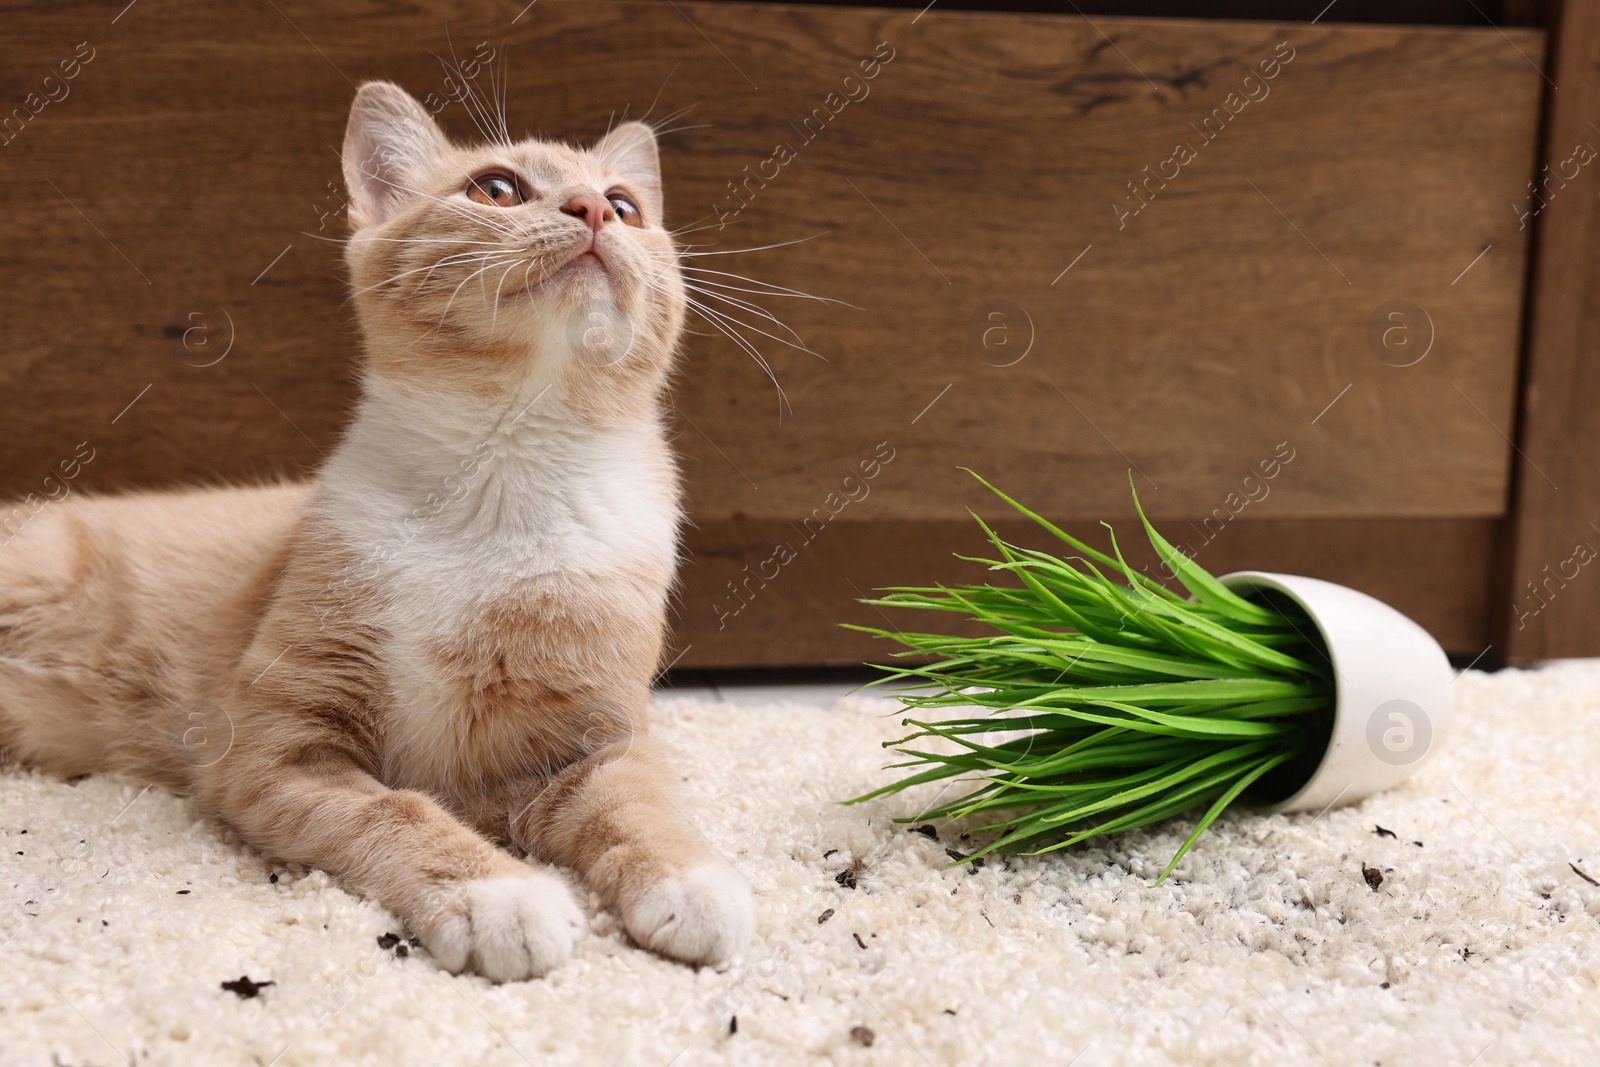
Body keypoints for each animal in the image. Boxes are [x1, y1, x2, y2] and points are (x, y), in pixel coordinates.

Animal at [0, 81, 755, 985]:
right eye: (496, 189)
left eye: (625, 204)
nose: (593, 211)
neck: (499, 483)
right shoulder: (278, 750)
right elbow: (397, 811)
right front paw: (499, 893)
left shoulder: (599, 736)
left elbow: (642, 805)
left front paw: (692, 879)